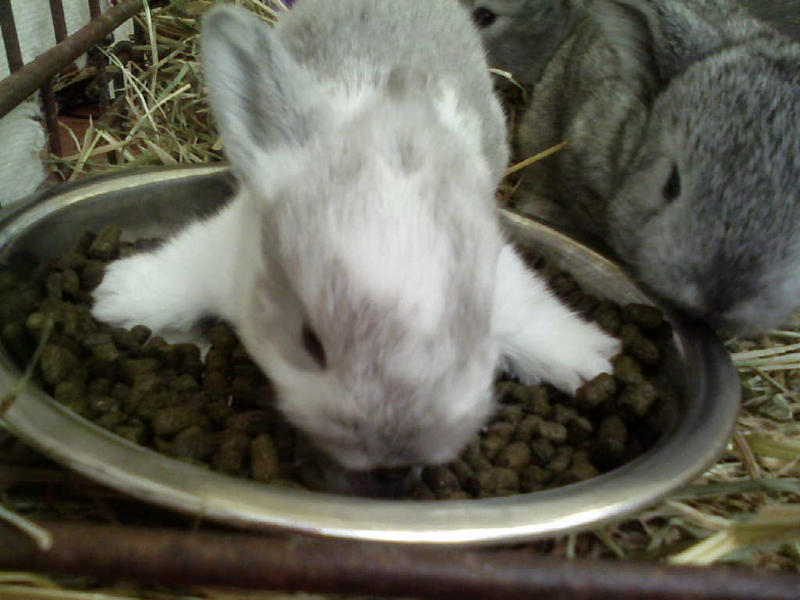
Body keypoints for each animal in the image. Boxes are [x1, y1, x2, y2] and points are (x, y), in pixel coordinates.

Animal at [91, 0, 619, 490]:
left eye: (474, 338)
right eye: (309, 342)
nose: (393, 452)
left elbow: (531, 315)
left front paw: (591, 361)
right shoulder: (227, 248)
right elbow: (183, 271)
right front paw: (115, 297)